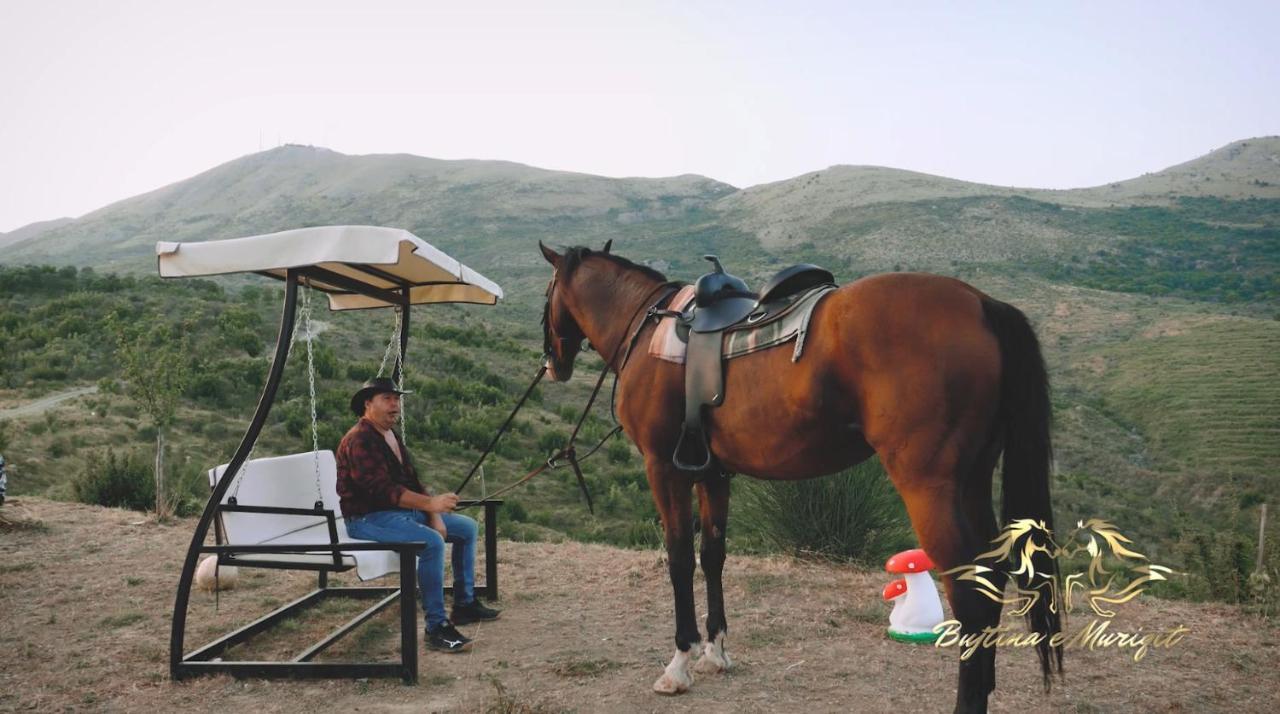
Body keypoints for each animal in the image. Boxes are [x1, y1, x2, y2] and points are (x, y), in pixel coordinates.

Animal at [537, 243, 1059, 711]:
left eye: (547, 295)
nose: (552, 362)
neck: (648, 328)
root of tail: (982, 304)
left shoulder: (663, 468)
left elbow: (680, 560)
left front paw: (680, 663)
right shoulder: (711, 473)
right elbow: (713, 556)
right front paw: (716, 652)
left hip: (929, 487)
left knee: (970, 592)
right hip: (971, 480)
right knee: (992, 576)